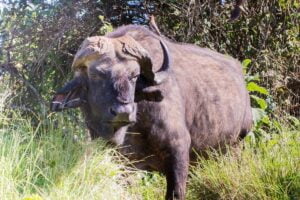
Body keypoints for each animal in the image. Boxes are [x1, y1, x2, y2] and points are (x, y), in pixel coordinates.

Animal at [51, 23, 251, 198]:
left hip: (236, 146)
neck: (134, 129)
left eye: (134, 75)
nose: (123, 111)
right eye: (96, 74)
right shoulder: (122, 162)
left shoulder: (178, 151)